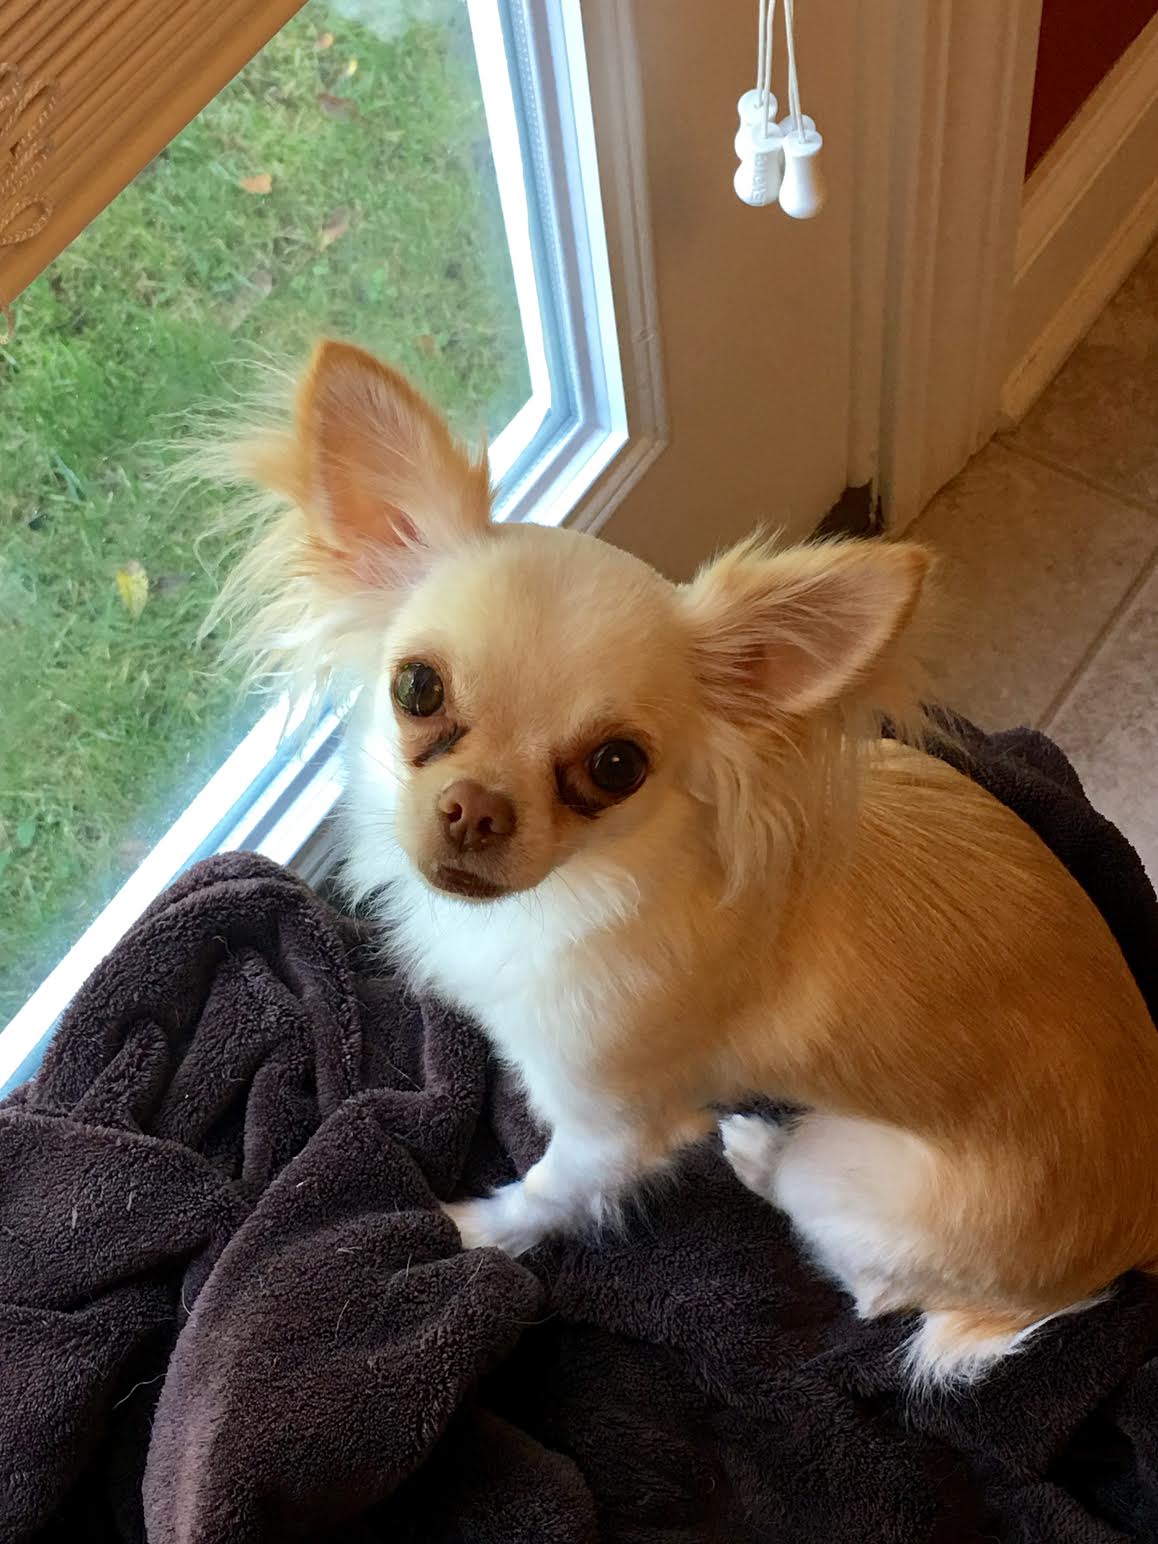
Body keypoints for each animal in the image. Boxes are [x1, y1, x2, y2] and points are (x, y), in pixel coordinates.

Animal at [207, 338, 1158, 1387]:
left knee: (872, 1287)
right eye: (417, 687)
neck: (586, 886)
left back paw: (757, 1154)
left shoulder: (608, 1122)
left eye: (615, 767)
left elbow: (548, 1191)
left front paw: (472, 1235)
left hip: (846, 1170)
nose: (476, 809)